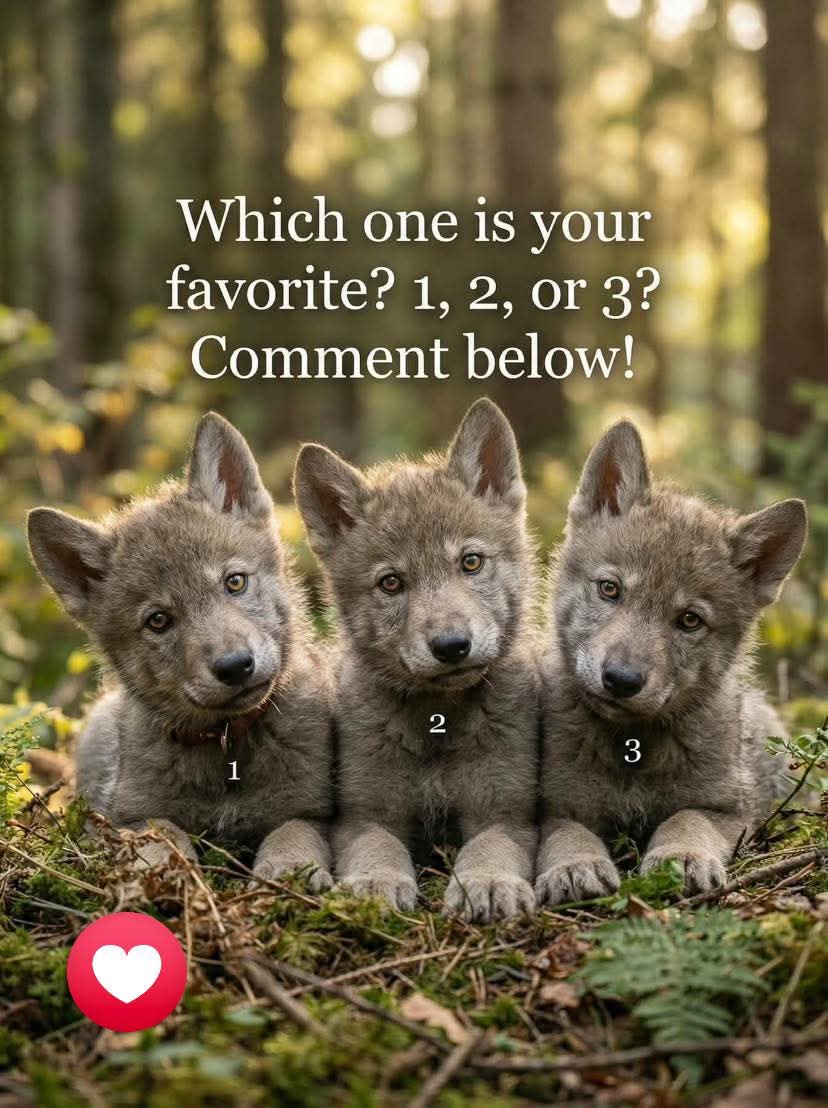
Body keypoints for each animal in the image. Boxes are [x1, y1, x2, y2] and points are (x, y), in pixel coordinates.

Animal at [27, 413, 333, 888]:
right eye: (158, 620)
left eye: (235, 582)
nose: (235, 666)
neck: (227, 749)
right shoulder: (127, 816)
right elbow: (162, 833)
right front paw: (167, 871)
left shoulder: (313, 810)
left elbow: (292, 831)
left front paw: (288, 870)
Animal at [294, 399, 539, 922]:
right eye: (391, 583)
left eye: (471, 562)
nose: (451, 645)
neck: (436, 730)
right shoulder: (365, 816)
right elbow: (378, 849)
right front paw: (375, 885)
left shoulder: (505, 813)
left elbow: (487, 849)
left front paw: (488, 883)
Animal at [536, 421, 807, 903]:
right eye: (609, 589)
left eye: (689, 620)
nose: (621, 679)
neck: (631, 752)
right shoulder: (552, 805)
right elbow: (568, 832)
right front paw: (574, 866)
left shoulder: (726, 808)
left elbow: (686, 820)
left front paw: (680, 857)